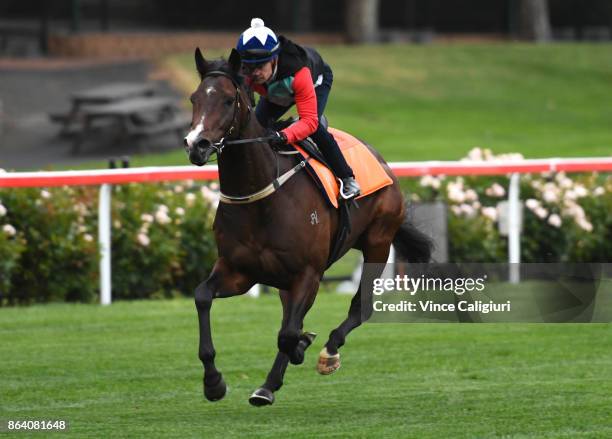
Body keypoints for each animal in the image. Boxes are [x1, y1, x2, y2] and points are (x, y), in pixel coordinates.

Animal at [184, 47, 432, 406]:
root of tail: (382, 161)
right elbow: (203, 296)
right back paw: (268, 385)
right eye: (194, 98)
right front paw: (214, 382)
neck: (262, 197)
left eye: (229, 100)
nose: (196, 144)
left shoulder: (308, 273)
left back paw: (326, 353)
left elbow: (288, 333)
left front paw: (304, 345)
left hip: (378, 241)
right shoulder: (239, 270)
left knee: (360, 306)